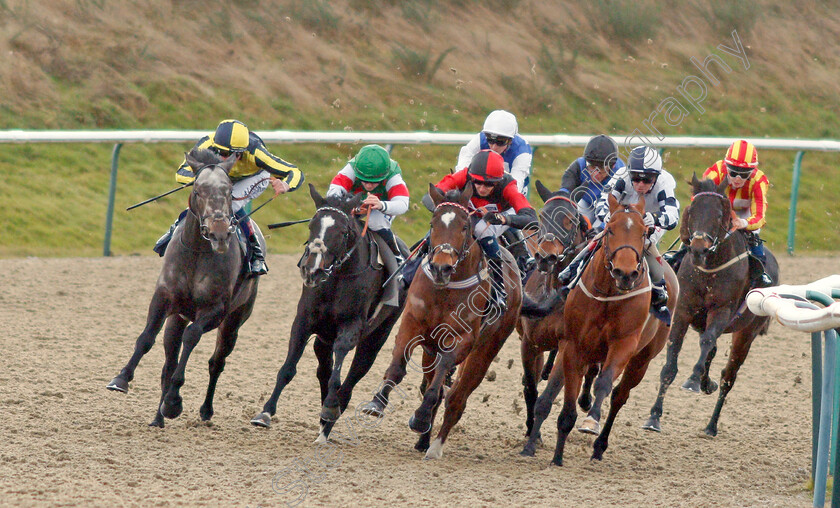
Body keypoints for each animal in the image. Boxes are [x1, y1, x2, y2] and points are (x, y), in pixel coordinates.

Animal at [106, 148, 260, 428]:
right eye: (198, 190)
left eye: (229, 192)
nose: (219, 233)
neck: (198, 252)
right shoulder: (163, 298)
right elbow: (146, 338)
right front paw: (121, 378)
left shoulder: (215, 310)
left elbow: (192, 337)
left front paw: (174, 402)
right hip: (177, 317)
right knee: (168, 362)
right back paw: (158, 418)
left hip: (234, 322)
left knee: (216, 362)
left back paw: (204, 410)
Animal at [249, 184, 406, 440]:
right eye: (312, 225)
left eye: (342, 232)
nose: (312, 270)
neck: (338, 276)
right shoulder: (304, 320)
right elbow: (288, 368)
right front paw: (265, 413)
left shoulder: (351, 326)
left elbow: (338, 374)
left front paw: (331, 408)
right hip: (323, 337)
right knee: (323, 368)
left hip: (379, 333)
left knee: (355, 373)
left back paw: (330, 416)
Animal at [360, 184, 520, 460]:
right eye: (433, 224)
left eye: (465, 226)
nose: (440, 268)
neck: (445, 289)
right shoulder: (412, 325)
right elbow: (398, 366)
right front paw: (377, 402)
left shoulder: (462, 340)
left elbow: (440, 382)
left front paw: (422, 417)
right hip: (429, 350)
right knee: (431, 383)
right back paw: (424, 441)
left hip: (485, 351)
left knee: (457, 397)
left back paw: (435, 445)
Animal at [548, 193, 680, 464]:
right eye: (609, 229)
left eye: (644, 232)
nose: (625, 273)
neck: (608, 294)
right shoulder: (574, 345)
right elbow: (569, 394)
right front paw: (557, 457)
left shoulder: (624, 344)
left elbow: (605, 382)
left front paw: (591, 422)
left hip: (642, 359)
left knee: (620, 395)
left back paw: (600, 445)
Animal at [644, 176, 780, 436]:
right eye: (692, 210)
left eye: (719, 214)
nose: (698, 248)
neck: (709, 270)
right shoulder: (683, 311)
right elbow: (670, 366)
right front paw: (654, 417)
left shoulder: (722, 311)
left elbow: (707, 342)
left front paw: (693, 380)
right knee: (713, 352)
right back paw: (708, 384)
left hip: (746, 332)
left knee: (728, 375)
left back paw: (711, 424)